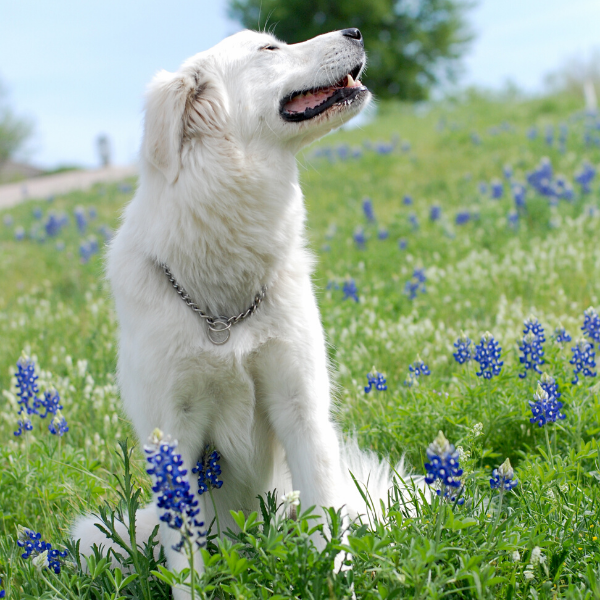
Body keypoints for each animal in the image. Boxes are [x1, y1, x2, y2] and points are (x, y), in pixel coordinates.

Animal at [72, 27, 410, 596]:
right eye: (268, 51)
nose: (356, 30)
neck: (223, 314)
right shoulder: (175, 436)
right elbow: (187, 566)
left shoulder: (301, 407)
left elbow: (328, 537)